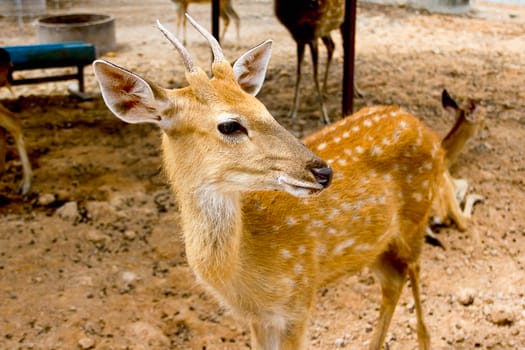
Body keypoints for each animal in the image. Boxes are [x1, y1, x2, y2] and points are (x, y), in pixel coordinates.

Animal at [93, 14, 442, 350]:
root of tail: (424, 128)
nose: (323, 172)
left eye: (263, 108)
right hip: (377, 245)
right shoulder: (257, 317)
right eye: (230, 125)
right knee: (392, 282)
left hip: (415, 220)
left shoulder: (300, 296)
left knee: (413, 275)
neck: (243, 275)